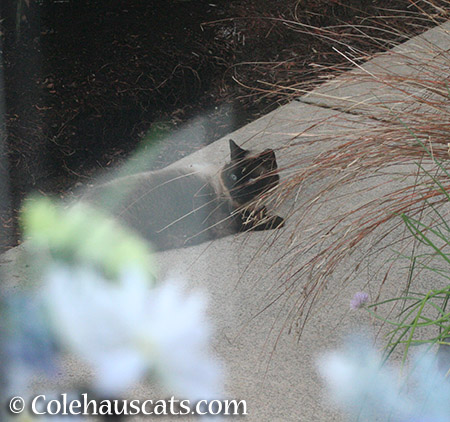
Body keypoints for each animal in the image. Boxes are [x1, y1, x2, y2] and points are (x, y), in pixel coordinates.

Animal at [82, 140, 284, 249]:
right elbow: (258, 223)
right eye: (233, 176)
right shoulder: (230, 221)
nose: (237, 190)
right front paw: (277, 220)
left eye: (252, 180)